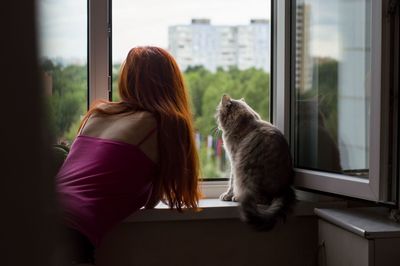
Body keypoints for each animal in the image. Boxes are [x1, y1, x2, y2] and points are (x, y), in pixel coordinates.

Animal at [216, 94, 296, 230]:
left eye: (218, 114)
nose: (217, 123)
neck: (245, 123)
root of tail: (282, 190)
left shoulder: (234, 160)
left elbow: (231, 181)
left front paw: (228, 195)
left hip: (247, 171)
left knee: (261, 199)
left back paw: (237, 197)